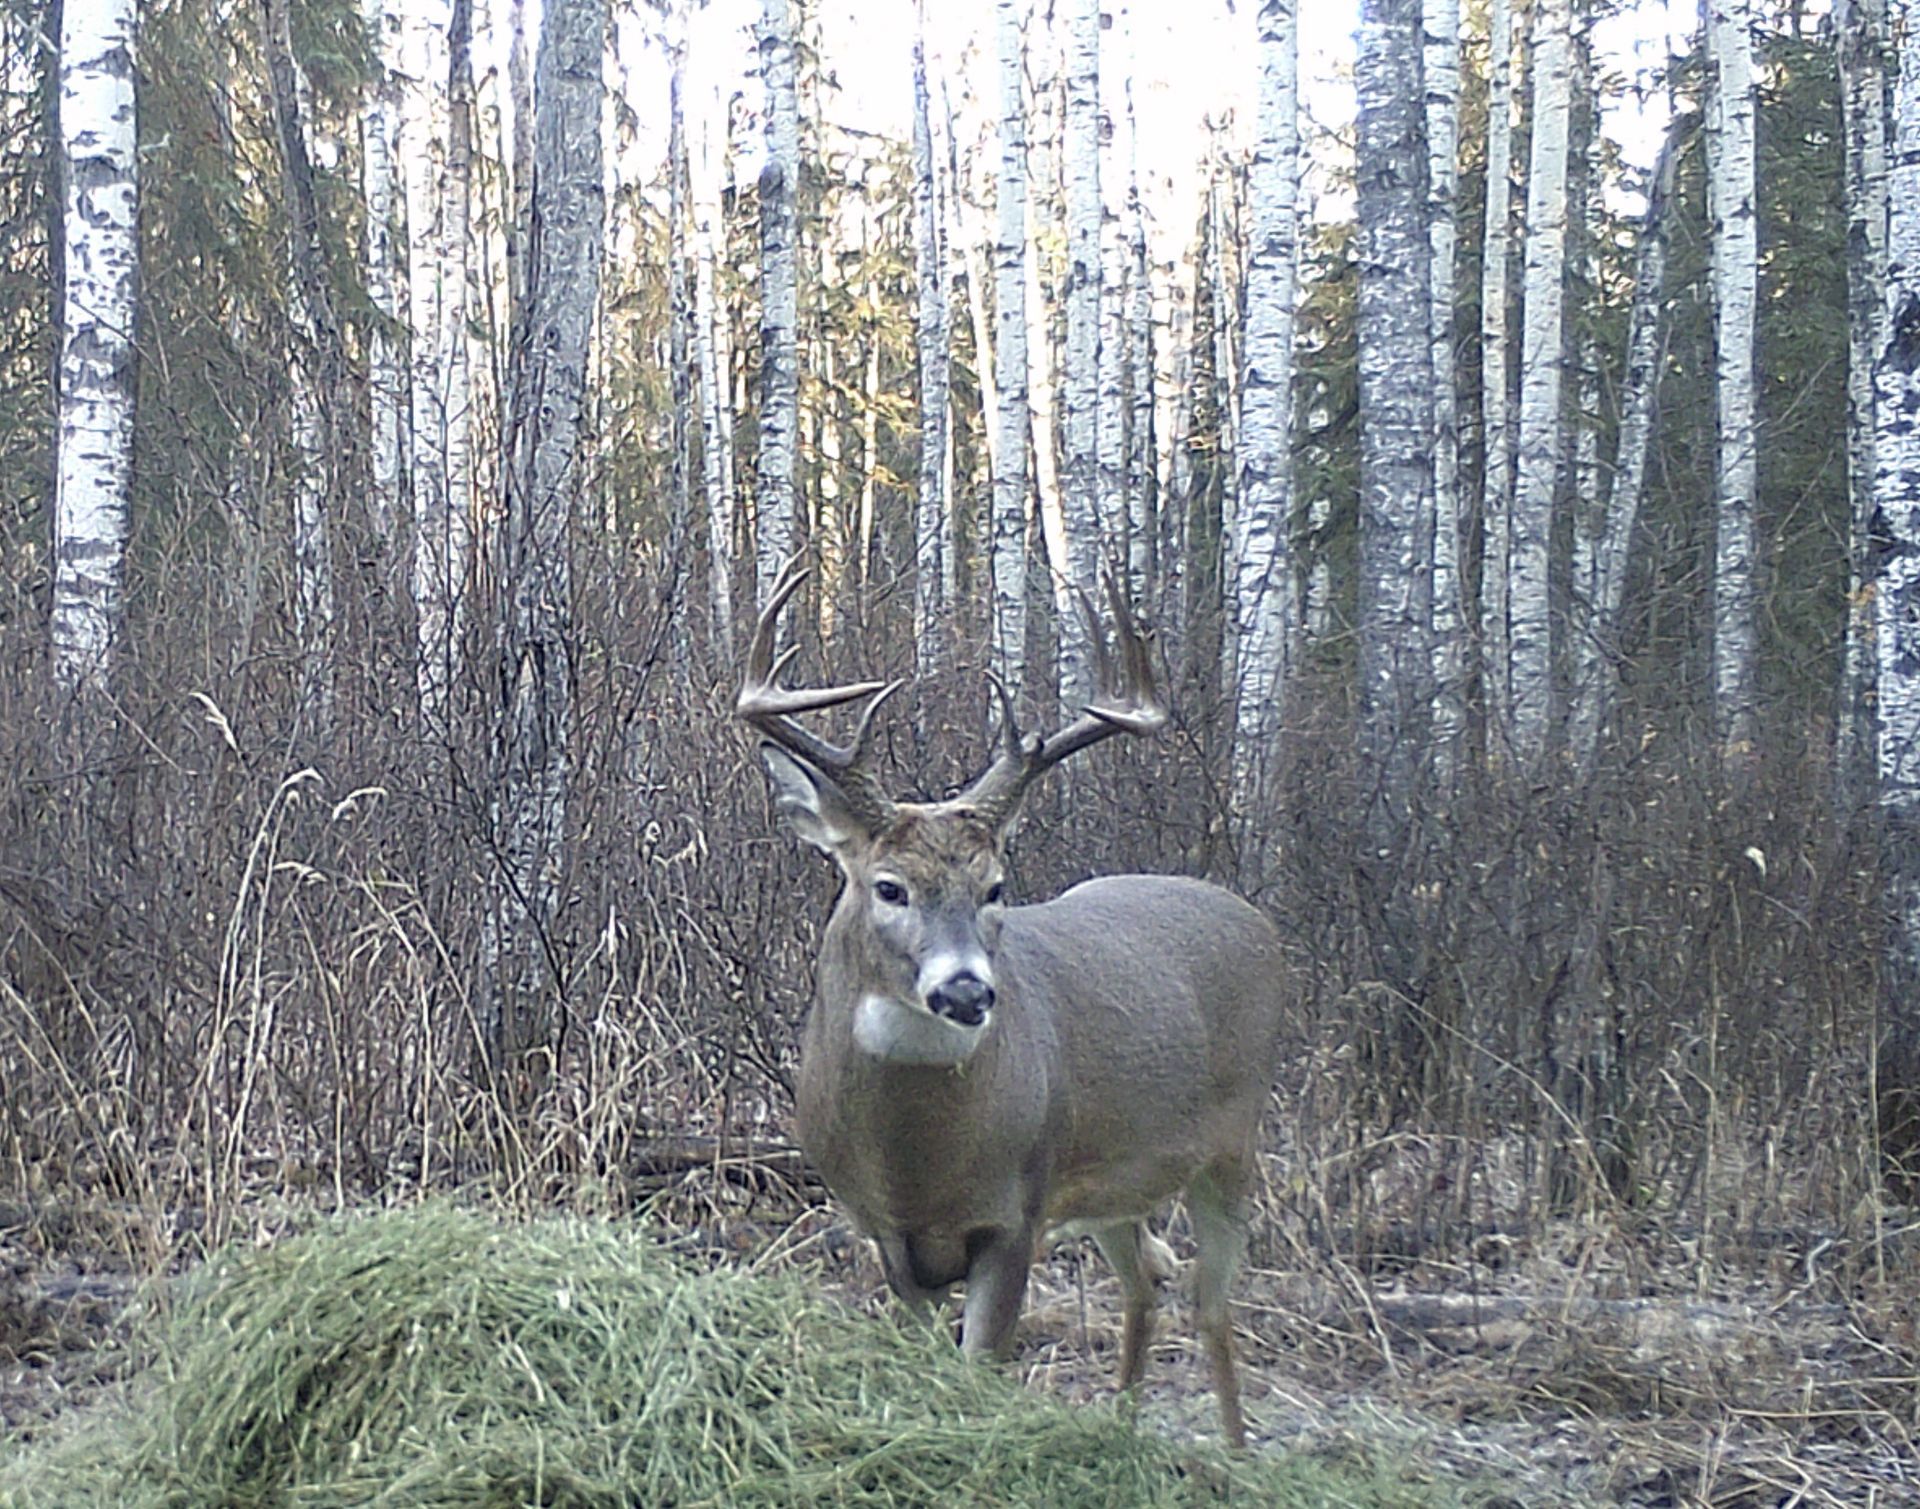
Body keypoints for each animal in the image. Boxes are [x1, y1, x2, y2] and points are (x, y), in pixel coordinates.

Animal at [739, 558, 1289, 1449]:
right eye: (888, 886)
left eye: (996, 886)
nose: (966, 988)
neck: (916, 1162)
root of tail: (1256, 918)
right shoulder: (887, 1235)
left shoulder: (1015, 1213)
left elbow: (982, 1363)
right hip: (1113, 1178)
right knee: (1146, 1282)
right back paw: (1119, 1424)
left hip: (1234, 1141)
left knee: (1211, 1303)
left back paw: (1235, 1455)